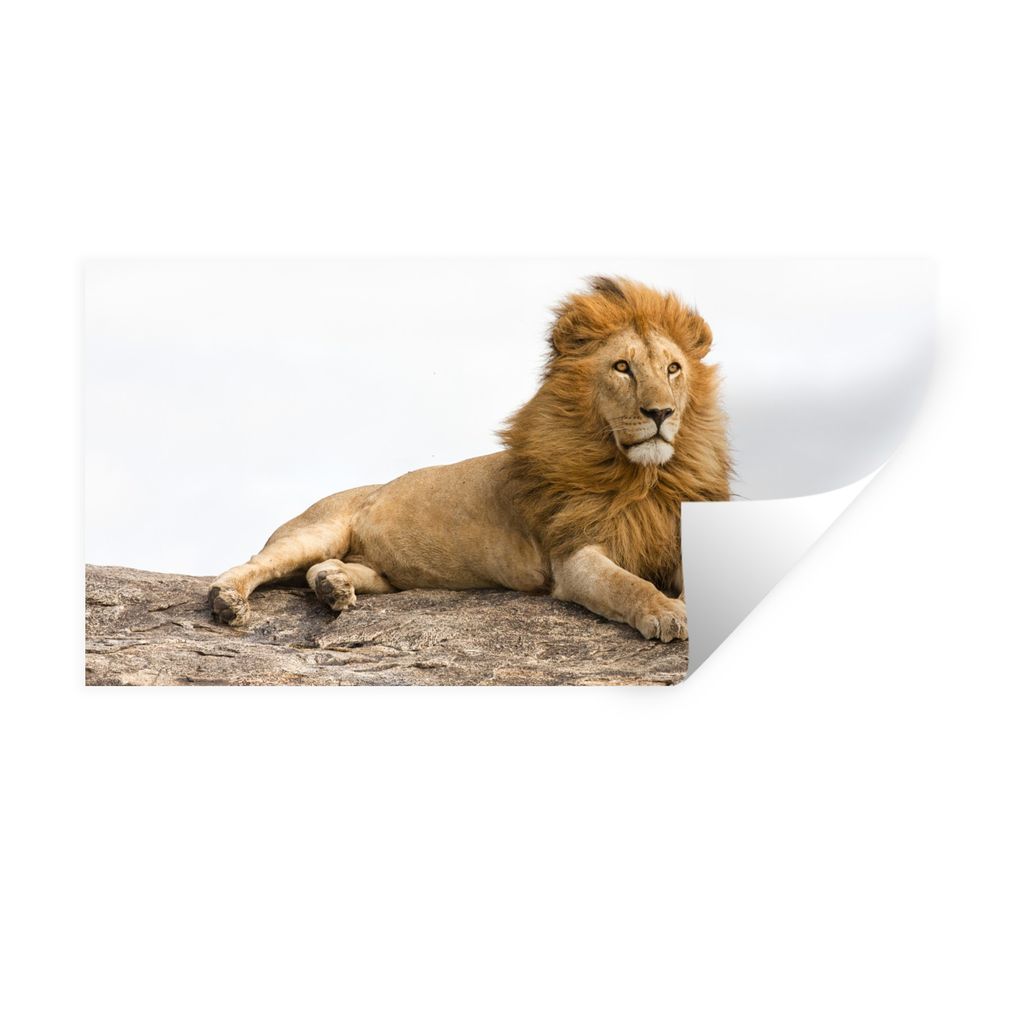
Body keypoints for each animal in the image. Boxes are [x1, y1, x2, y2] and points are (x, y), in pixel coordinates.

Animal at [209, 276, 731, 642]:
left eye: (673, 368)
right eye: (622, 367)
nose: (660, 412)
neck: (643, 478)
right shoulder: (574, 554)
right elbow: (627, 584)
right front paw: (666, 612)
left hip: (383, 575)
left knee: (326, 569)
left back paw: (332, 587)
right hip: (315, 529)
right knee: (257, 561)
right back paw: (227, 600)